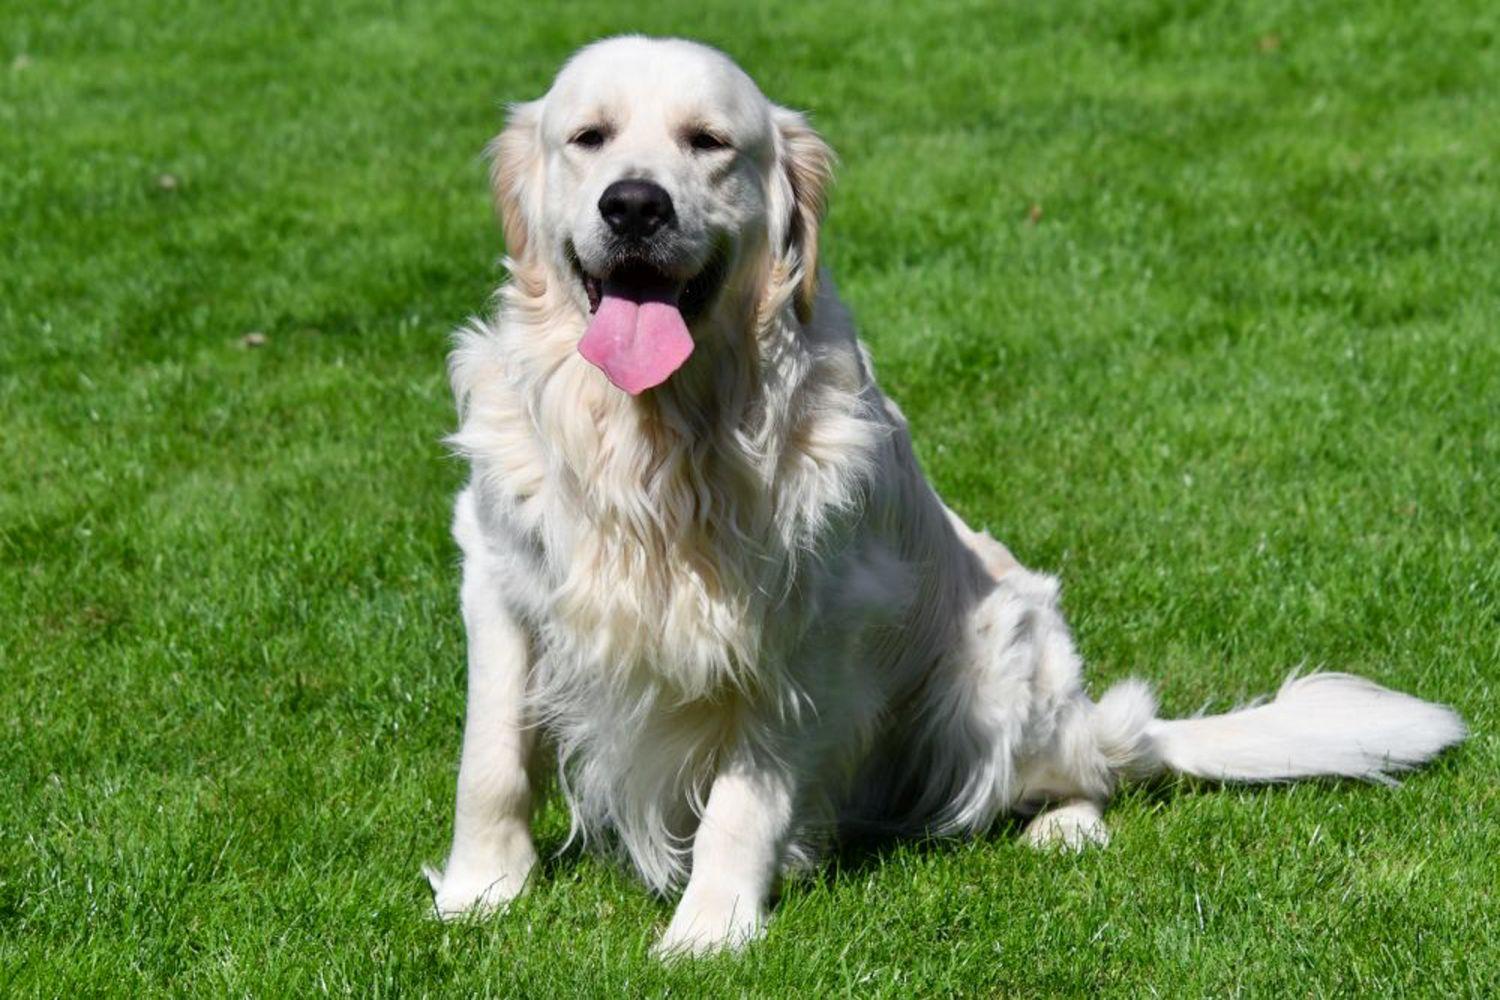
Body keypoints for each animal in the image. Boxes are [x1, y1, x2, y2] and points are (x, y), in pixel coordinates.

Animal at [423, 33, 1464, 953]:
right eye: (589, 137)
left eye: (709, 142)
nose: (634, 204)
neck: (657, 437)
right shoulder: (500, 575)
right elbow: (491, 761)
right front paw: (479, 894)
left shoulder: (812, 623)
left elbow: (741, 800)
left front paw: (709, 933)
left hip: (999, 671)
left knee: (1090, 770)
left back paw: (1064, 825)